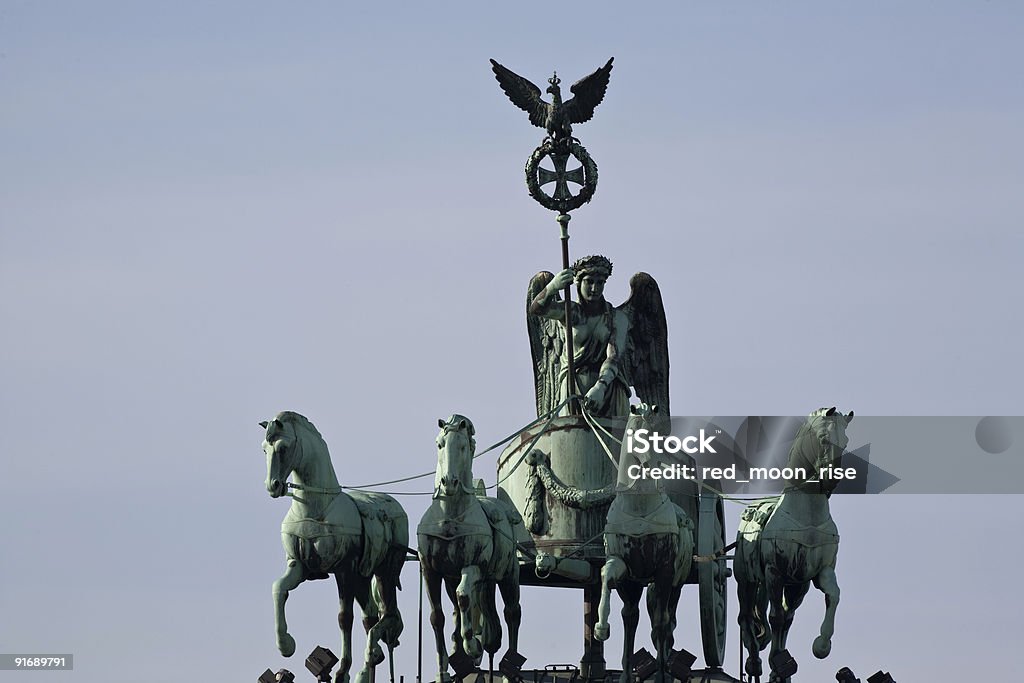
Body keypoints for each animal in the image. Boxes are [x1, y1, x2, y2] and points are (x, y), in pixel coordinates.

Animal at [262, 411, 409, 683]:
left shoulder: (344, 570)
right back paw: (368, 664)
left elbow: (344, 618)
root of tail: (395, 506)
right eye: (264, 449)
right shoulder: (299, 567)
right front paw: (286, 644)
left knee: (388, 615)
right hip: (363, 577)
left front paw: (342, 670)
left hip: (385, 571)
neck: (315, 506)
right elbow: (279, 589)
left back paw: (370, 656)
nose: (273, 486)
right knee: (371, 617)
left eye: (283, 448)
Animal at [417, 417, 524, 683]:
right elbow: (437, 616)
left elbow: (464, 595)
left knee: (512, 613)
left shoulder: (473, 566)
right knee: (457, 609)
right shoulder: (431, 571)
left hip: (508, 574)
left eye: (463, 446)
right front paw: (443, 670)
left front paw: (472, 646)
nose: (449, 482)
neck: (450, 516)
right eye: (440, 444)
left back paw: (509, 666)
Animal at [593, 403, 696, 683]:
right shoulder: (622, 565)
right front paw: (601, 627)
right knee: (631, 616)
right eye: (634, 435)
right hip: (635, 583)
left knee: (666, 621)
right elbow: (605, 576)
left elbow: (661, 623)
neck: (639, 507)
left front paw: (661, 675)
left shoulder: (665, 571)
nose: (651, 464)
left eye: (654, 437)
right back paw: (627, 673)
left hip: (676, 583)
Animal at [737, 405, 856, 683]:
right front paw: (771, 660)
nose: (831, 479)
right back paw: (755, 662)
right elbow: (774, 618)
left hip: (796, 588)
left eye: (845, 442)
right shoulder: (773, 573)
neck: (807, 516)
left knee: (788, 618)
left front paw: (821, 645)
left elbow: (833, 596)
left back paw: (778, 669)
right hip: (747, 581)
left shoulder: (819, 573)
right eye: (824, 439)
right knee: (747, 618)